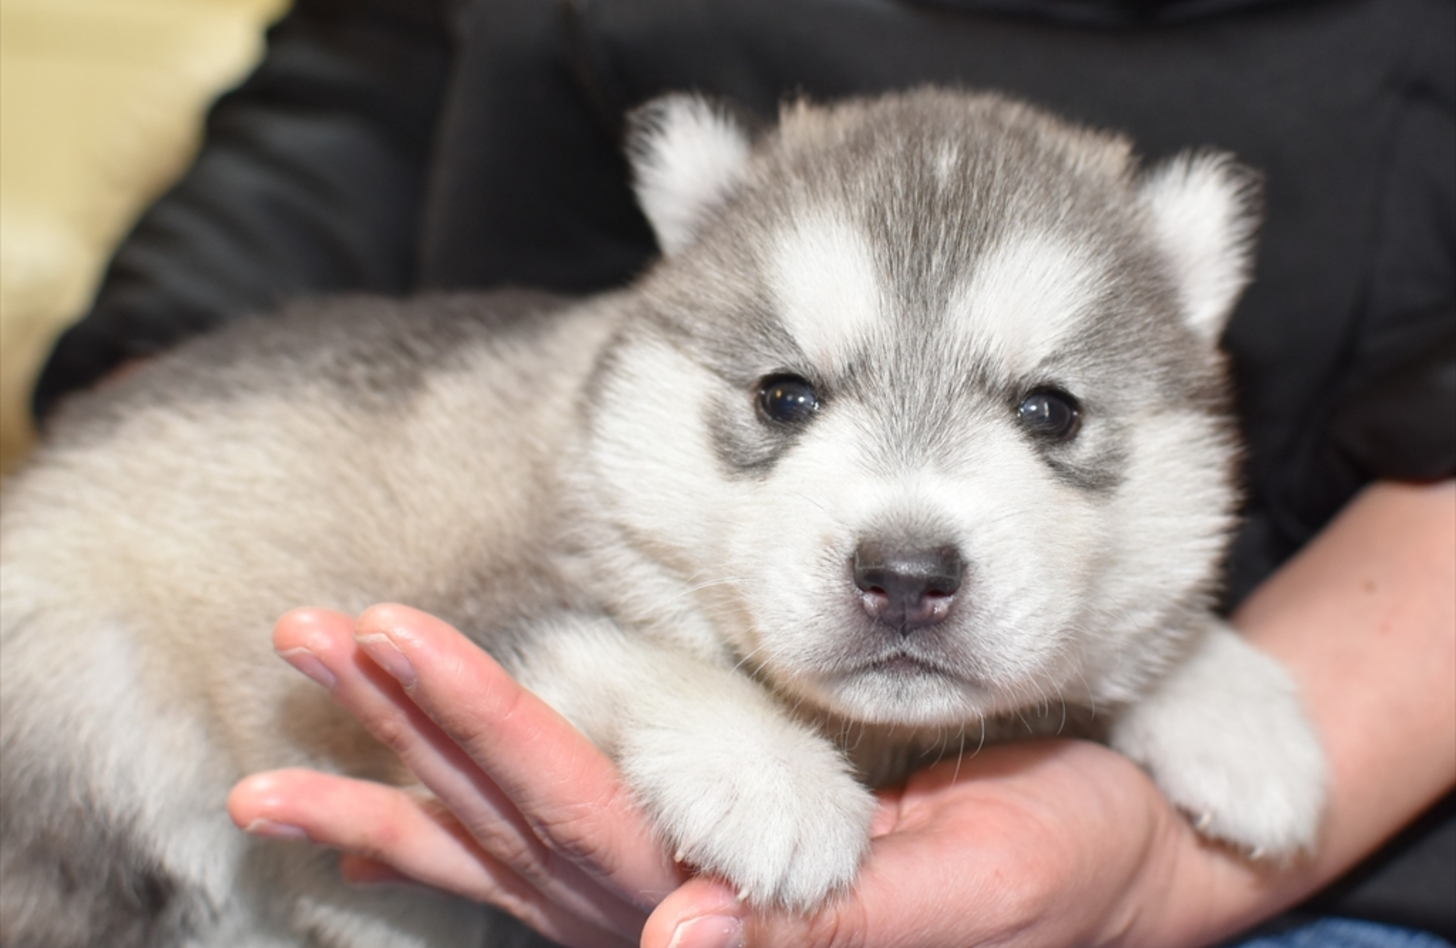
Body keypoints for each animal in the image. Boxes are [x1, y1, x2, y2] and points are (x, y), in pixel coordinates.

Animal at [0, 91, 1322, 948]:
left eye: (1050, 409)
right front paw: (772, 779)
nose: (904, 573)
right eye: (783, 396)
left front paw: (1238, 714)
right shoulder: (459, 610)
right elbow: (629, 649)